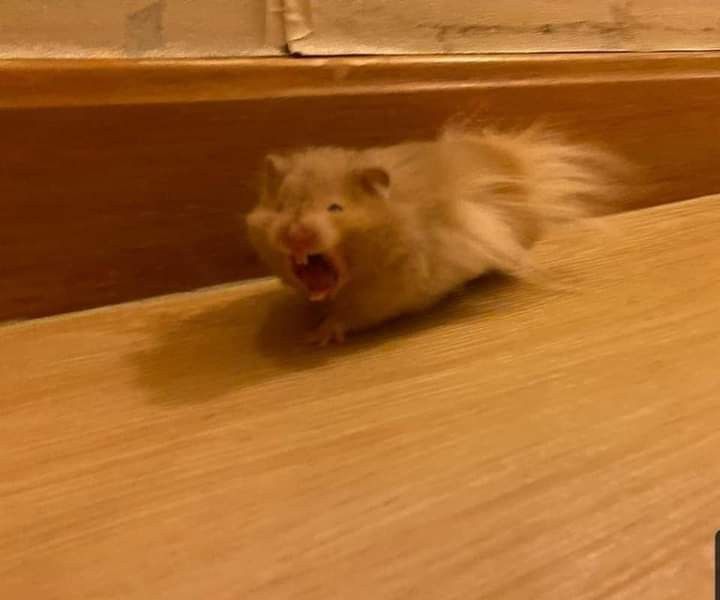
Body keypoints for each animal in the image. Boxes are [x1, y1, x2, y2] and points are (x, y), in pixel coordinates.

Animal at [246, 124, 622, 345]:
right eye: (280, 207)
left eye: (335, 208)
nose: (294, 236)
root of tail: (522, 167)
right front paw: (303, 325)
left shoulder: (383, 299)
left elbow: (346, 317)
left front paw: (315, 337)